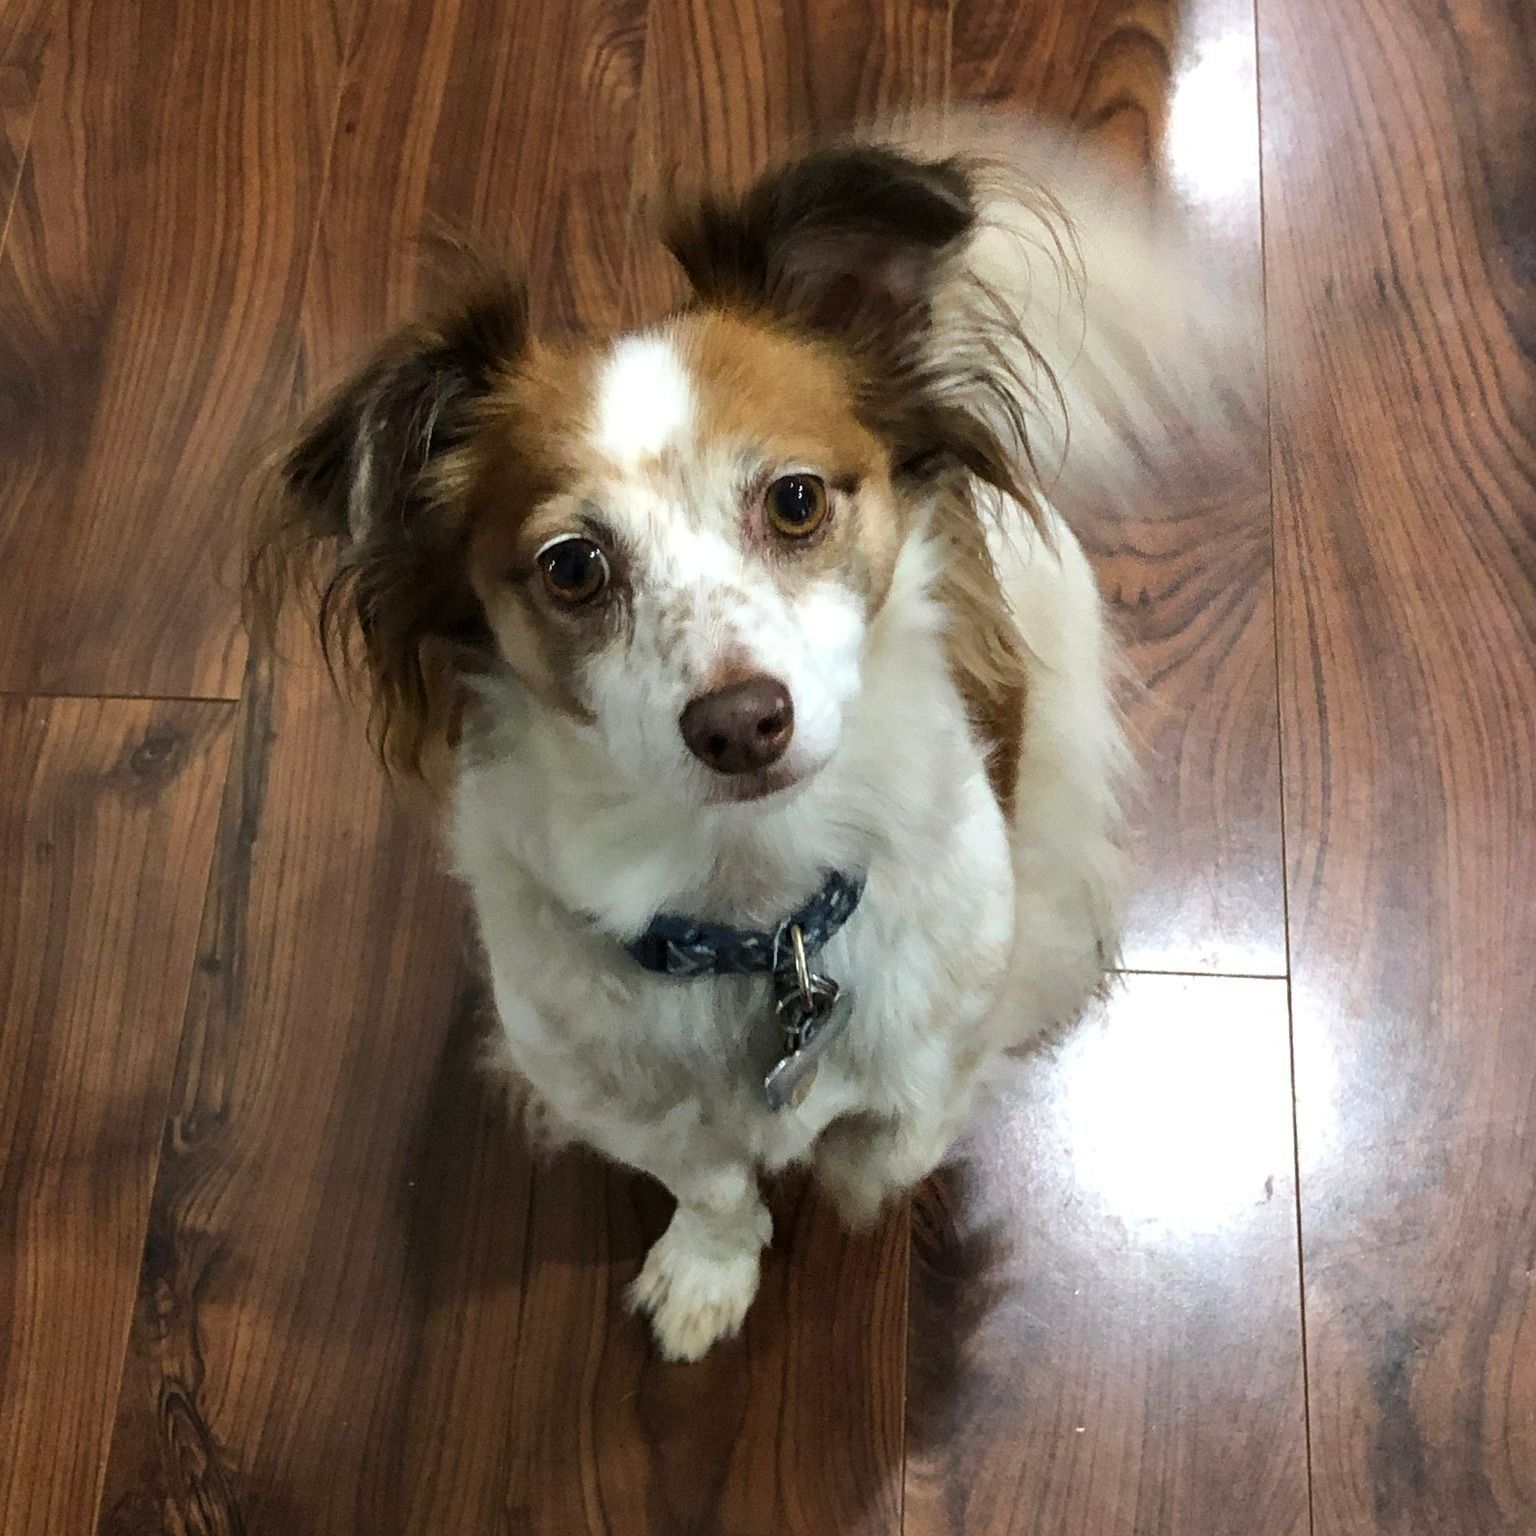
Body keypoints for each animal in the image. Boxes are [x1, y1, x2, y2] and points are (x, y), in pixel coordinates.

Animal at [251, 116, 1228, 1357]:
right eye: (572, 567)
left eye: (797, 500)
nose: (739, 723)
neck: (759, 916)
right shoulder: (613, 1092)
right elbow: (709, 1183)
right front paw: (710, 1271)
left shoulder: (946, 1025)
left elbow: (902, 1127)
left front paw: (857, 1180)